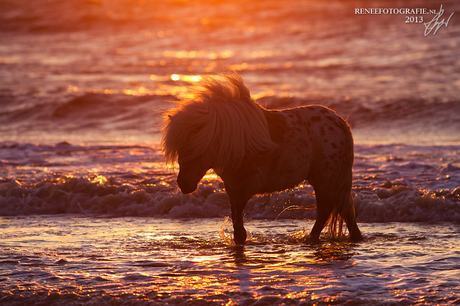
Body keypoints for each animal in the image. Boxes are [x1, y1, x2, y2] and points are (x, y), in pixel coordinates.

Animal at [162, 73, 362, 245]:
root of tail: (340, 123)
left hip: (324, 179)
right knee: (342, 211)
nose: (183, 184)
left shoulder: (247, 185)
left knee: (326, 209)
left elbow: (238, 213)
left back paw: (311, 239)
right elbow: (235, 214)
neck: (236, 143)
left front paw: (241, 237)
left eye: (193, 149)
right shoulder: (232, 186)